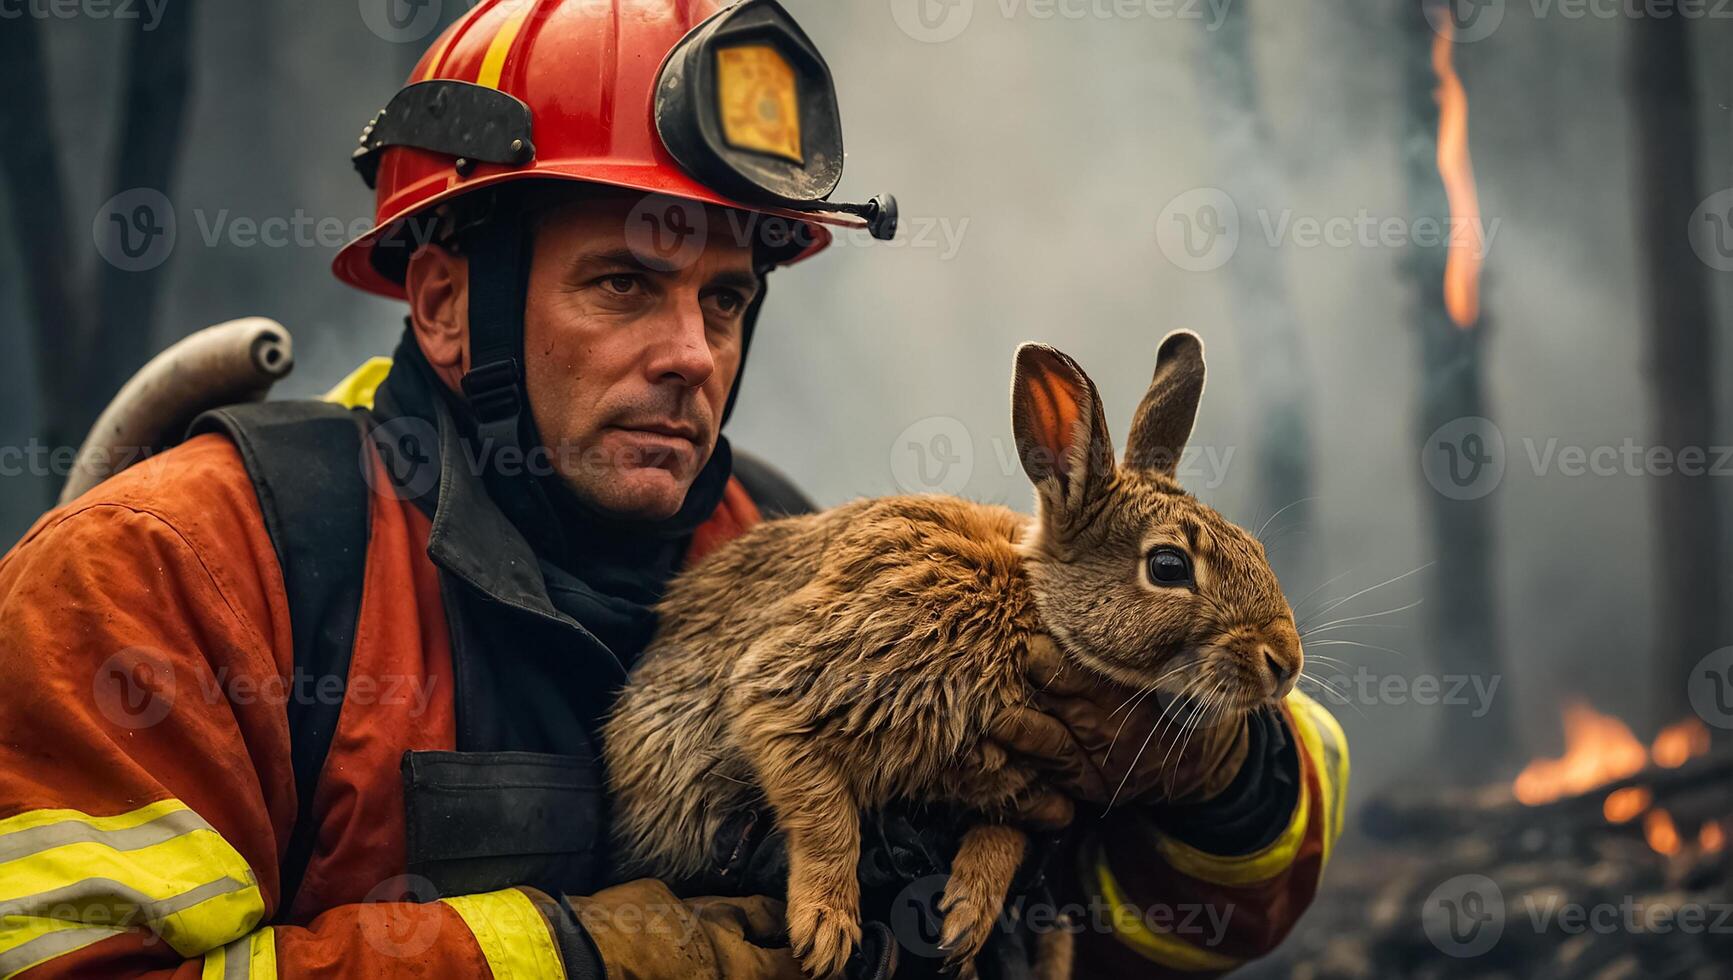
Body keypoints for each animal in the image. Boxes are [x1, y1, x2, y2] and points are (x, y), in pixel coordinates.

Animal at [610, 331, 1303, 978]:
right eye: (1168, 567)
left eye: (1256, 550)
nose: (1286, 661)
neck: (1031, 607)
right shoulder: (795, 688)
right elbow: (822, 814)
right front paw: (826, 930)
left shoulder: (1020, 784)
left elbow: (1006, 835)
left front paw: (967, 917)